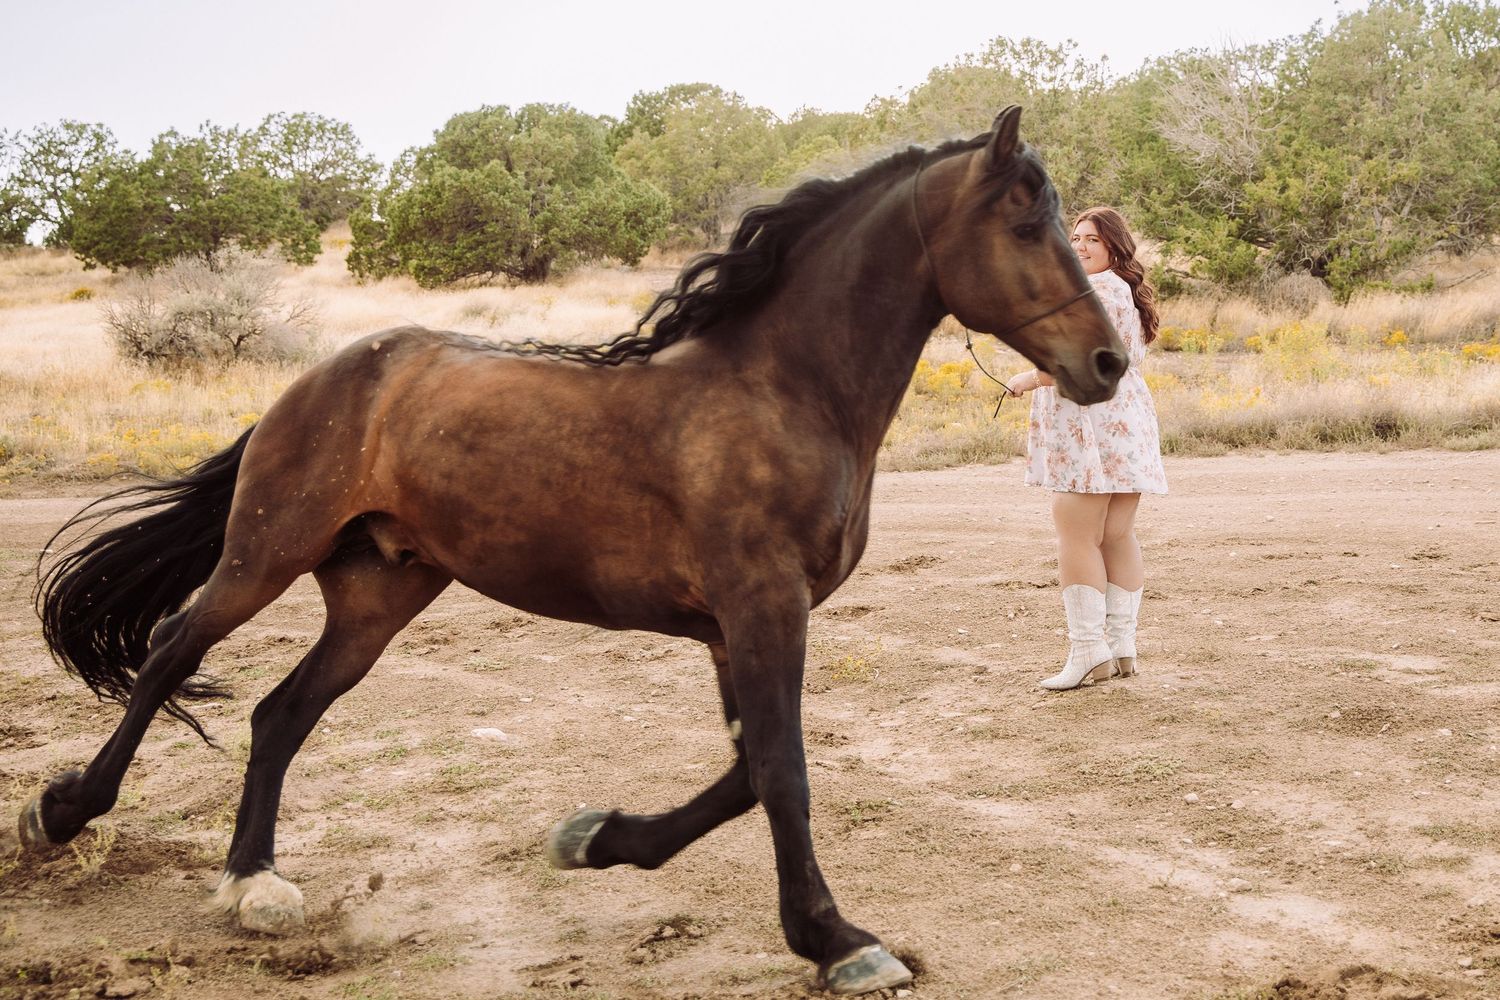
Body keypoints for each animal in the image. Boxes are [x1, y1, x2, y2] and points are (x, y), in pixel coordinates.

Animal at [21, 107, 1126, 995]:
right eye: (1025, 223)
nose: (1108, 362)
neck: (783, 392)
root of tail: (331, 374)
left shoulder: (735, 627)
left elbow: (745, 771)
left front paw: (596, 840)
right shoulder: (762, 608)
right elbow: (782, 770)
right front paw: (839, 941)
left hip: (380, 593)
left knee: (280, 711)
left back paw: (254, 881)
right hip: (267, 553)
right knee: (172, 648)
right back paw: (64, 813)